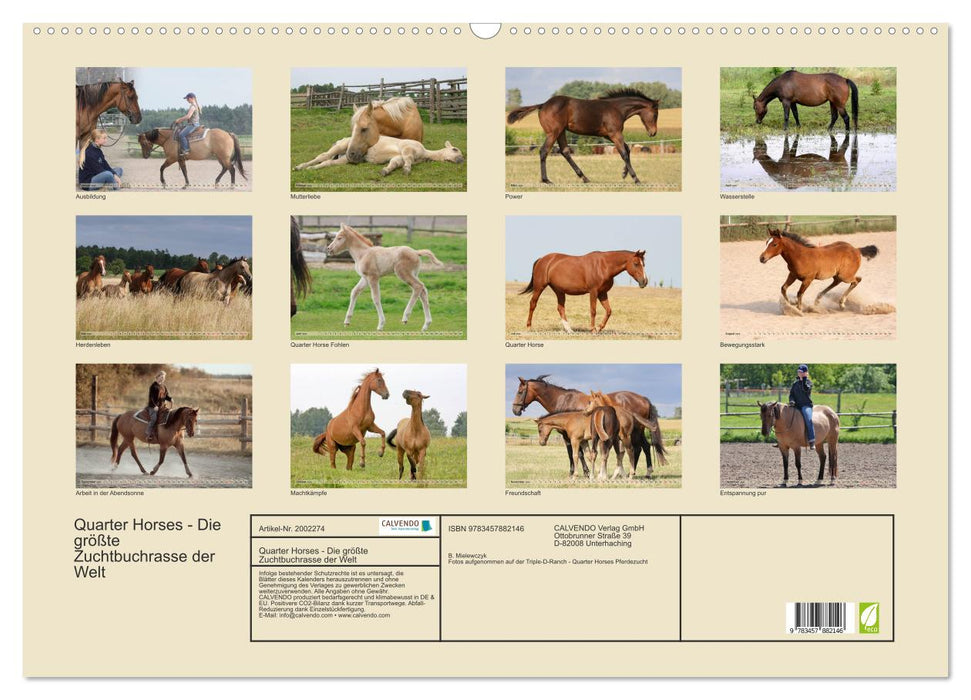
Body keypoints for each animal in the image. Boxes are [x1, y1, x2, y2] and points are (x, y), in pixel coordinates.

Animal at [506, 89, 659, 185]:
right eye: (655, 114)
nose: (653, 133)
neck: (617, 109)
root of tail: (543, 104)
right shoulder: (615, 133)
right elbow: (624, 153)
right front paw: (636, 179)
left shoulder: (608, 135)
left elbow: (627, 149)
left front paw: (623, 173)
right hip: (553, 132)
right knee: (544, 151)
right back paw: (546, 180)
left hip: (561, 132)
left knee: (565, 151)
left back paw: (584, 177)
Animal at [512, 375, 667, 476]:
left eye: (520, 392)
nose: (515, 410)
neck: (563, 400)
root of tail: (643, 399)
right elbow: (582, 453)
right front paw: (586, 472)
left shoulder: (568, 437)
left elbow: (574, 454)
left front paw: (577, 473)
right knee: (642, 447)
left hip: (636, 431)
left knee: (641, 447)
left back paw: (642, 472)